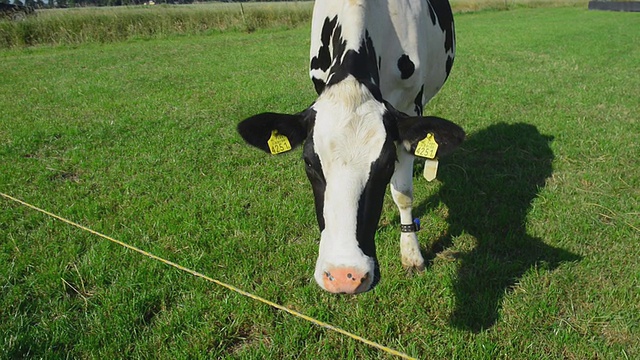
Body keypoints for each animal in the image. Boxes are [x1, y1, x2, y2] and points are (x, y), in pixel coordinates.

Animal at [238, 0, 462, 292]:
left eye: (387, 164)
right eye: (308, 162)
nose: (344, 276)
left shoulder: (410, 105)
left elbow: (402, 193)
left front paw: (412, 254)